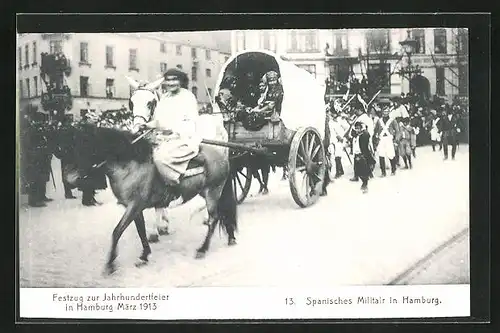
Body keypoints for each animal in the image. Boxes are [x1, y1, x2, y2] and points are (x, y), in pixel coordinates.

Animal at [58, 123, 238, 274]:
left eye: (87, 147)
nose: (68, 178)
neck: (131, 165)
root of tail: (222, 154)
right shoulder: (135, 208)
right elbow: (141, 231)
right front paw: (144, 255)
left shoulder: (134, 206)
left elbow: (117, 231)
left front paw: (110, 264)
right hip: (207, 192)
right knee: (222, 213)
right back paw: (230, 237)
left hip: (212, 192)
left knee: (214, 218)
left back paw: (202, 249)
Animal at [125, 75, 229, 241]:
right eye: (131, 102)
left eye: (150, 102)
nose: (137, 129)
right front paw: (162, 225)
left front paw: (158, 228)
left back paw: (205, 215)